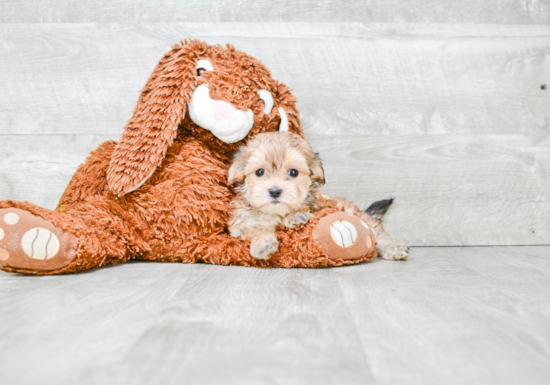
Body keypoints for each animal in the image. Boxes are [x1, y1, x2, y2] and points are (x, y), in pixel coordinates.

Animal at [227, 130, 326, 260]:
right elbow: (251, 229)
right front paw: (262, 242)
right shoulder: (238, 226)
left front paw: (296, 215)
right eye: (260, 172)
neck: (274, 212)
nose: (275, 191)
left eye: (293, 172)